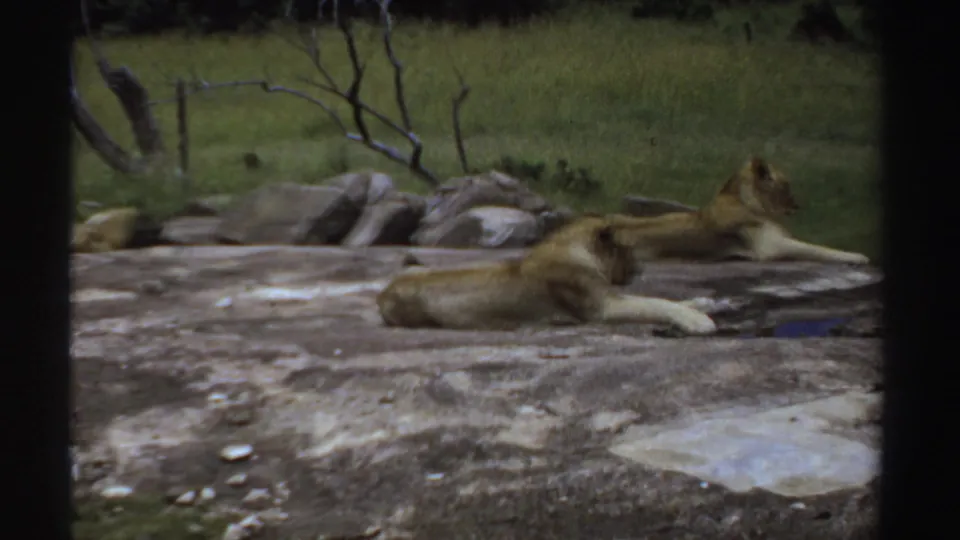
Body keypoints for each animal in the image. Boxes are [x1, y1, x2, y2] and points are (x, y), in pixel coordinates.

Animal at [376, 215, 717, 335]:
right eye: (628, 250)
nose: (641, 268)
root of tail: (383, 293)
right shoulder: (602, 308)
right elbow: (657, 302)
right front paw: (699, 321)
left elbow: (666, 298)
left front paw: (704, 303)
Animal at [610, 157, 871, 264]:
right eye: (786, 185)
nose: (797, 206)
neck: (749, 203)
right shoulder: (770, 247)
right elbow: (819, 249)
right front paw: (858, 257)